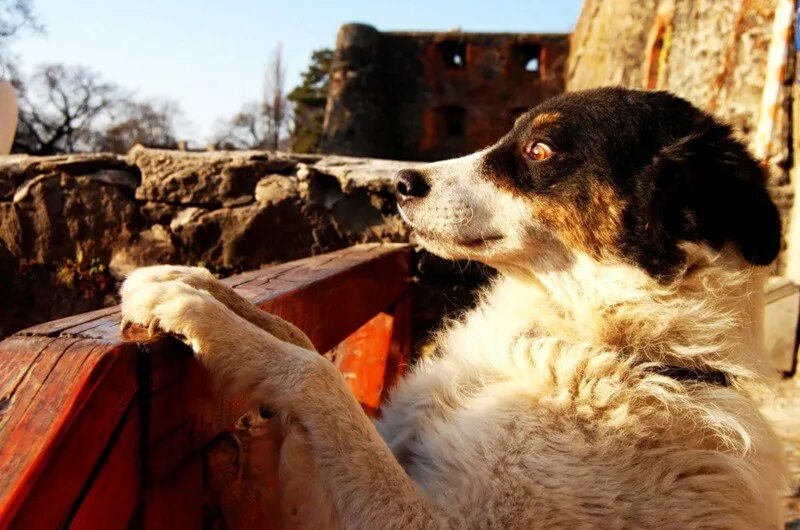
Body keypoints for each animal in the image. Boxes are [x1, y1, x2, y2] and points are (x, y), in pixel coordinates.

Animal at [120, 88, 788, 524]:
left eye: (540, 150)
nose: (399, 184)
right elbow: (298, 335)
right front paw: (196, 283)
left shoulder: (431, 520)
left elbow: (317, 379)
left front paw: (194, 312)